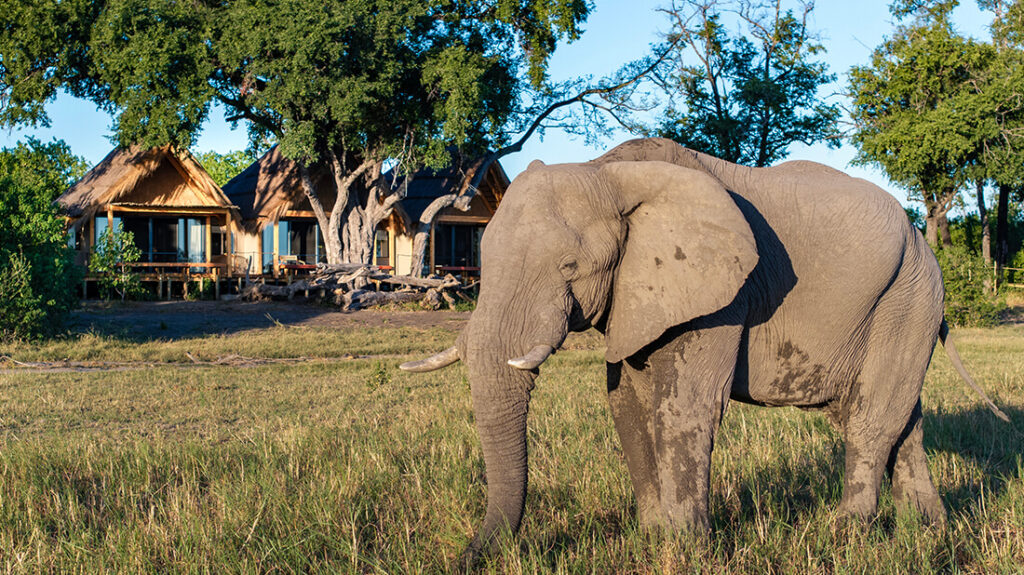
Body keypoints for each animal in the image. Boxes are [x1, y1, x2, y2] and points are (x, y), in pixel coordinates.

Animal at [399, 135, 1007, 560]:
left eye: (569, 267)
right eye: (483, 254)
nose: (464, 560)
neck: (607, 171)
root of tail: (922, 242)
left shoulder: (721, 293)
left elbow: (684, 407)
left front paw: (686, 549)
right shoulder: (638, 293)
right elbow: (626, 404)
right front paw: (653, 540)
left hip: (908, 298)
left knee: (870, 419)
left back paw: (846, 536)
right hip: (900, 305)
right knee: (899, 418)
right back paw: (928, 533)